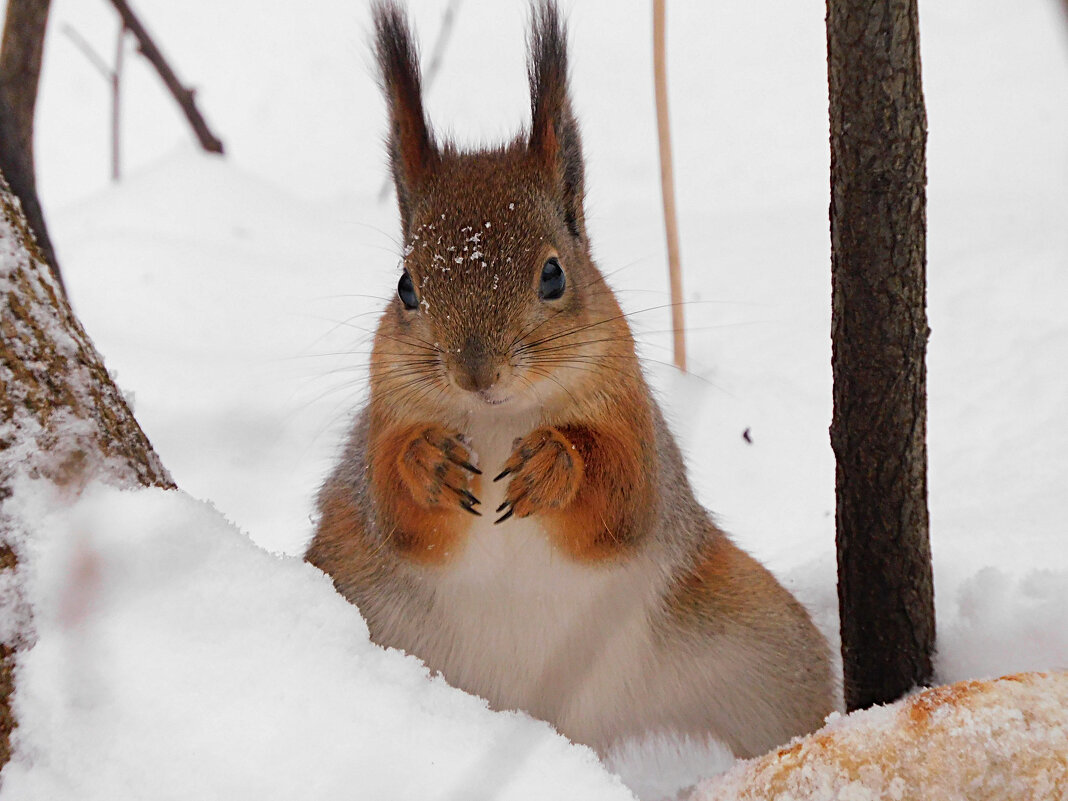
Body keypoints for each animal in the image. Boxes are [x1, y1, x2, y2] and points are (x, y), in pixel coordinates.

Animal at [303, 0, 833, 760]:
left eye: (554, 275)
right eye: (406, 287)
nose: (475, 371)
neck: (498, 418)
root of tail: (555, 722)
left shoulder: (635, 422)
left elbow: (623, 494)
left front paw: (556, 464)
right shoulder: (383, 421)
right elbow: (392, 507)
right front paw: (427, 463)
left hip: (750, 645)